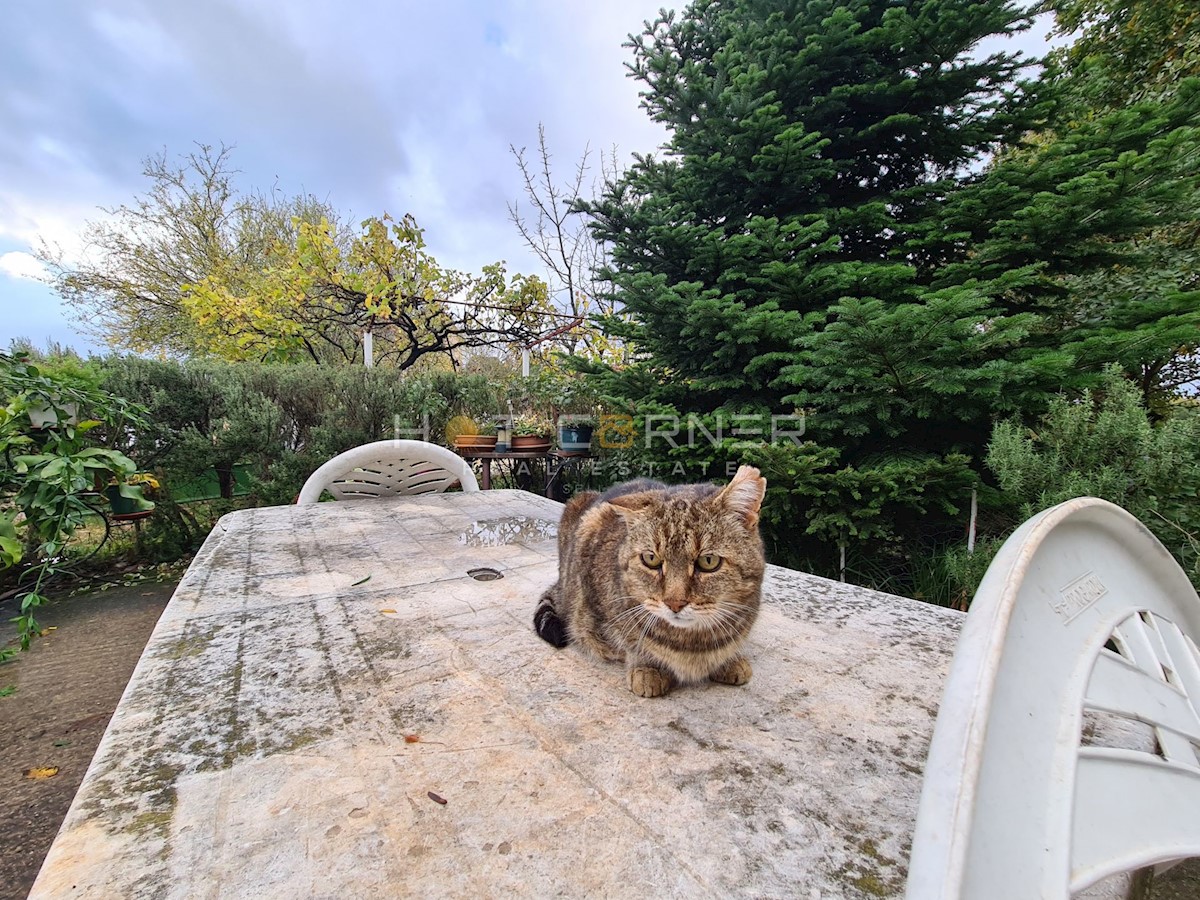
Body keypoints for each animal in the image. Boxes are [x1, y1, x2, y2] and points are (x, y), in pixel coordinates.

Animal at [537, 468, 768, 700]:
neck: (691, 644)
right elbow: (630, 641)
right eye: (651, 559)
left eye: (708, 561)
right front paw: (647, 668)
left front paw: (730, 659)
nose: (674, 603)